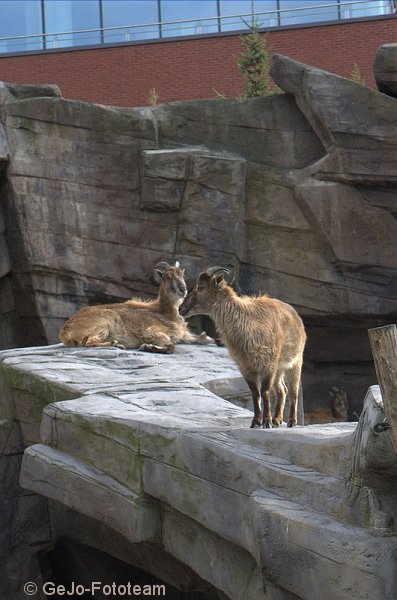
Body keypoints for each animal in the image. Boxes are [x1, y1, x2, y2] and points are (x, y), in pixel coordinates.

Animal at [58, 262, 210, 354]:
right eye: (167, 276)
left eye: (182, 274)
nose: (183, 289)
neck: (164, 311)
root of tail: (66, 332)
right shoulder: (153, 331)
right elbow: (171, 346)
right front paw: (147, 346)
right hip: (103, 322)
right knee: (90, 342)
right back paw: (115, 343)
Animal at [179, 268, 306, 426]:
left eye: (201, 287)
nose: (181, 308)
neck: (247, 323)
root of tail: (296, 316)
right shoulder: (245, 366)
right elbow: (255, 392)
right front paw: (256, 421)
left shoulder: (268, 364)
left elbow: (265, 391)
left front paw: (266, 422)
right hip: (279, 369)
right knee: (282, 390)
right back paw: (277, 420)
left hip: (295, 362)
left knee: (293, 391)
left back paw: (291, 421)